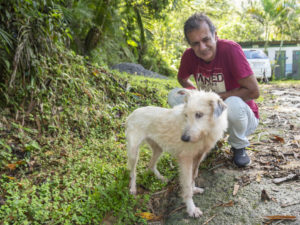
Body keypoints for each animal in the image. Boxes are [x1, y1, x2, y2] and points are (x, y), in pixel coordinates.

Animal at [125, 89, 227, 217]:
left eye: (199, 114)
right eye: (186, 115)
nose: (184, 138)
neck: (205, 133)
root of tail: (132, 113)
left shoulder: (198, 157)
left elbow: (193, 177)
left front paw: (194, 189)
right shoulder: (186, 159)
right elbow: (187, 184)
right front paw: (191, 208)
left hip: (158, 149)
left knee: (151, 165)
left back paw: (162, 178)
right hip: (133, 152)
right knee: (133, 172)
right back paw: (133, 188)